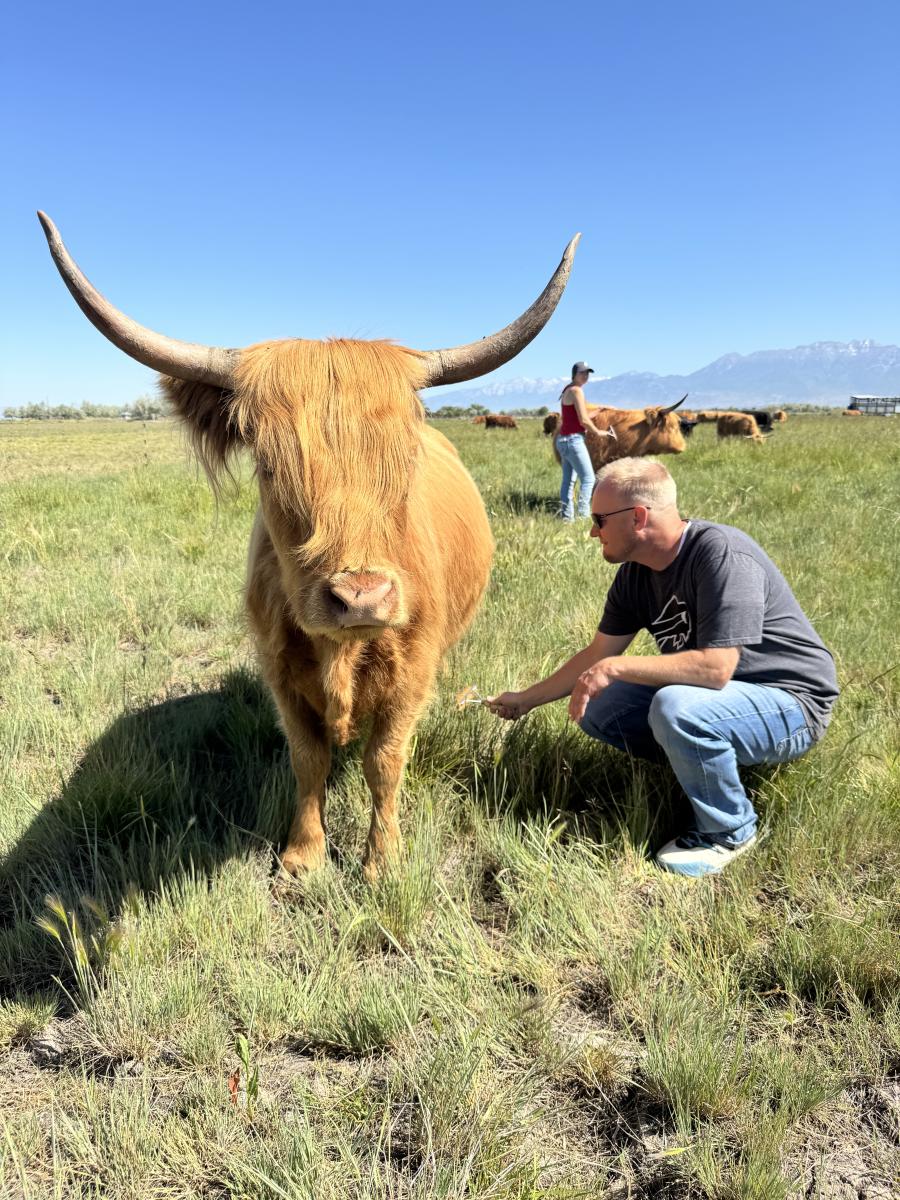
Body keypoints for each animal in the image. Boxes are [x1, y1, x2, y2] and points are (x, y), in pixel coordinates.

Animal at [38, 211, 580, 878]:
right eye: (270, 465)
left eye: (405, 460)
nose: (362, 597)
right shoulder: (280, 673)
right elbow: (308, 759)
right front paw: (303, 854)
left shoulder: (412, 671)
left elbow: (384, 762)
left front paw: (381, 858)